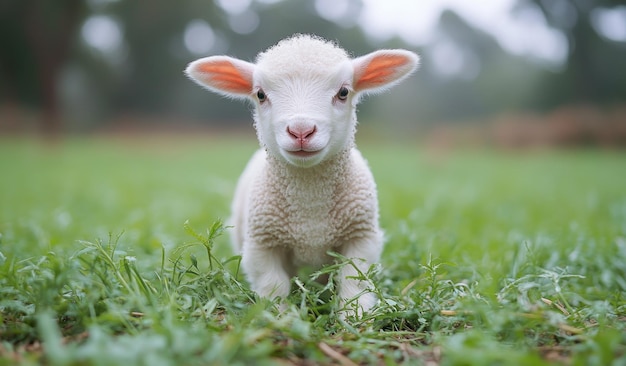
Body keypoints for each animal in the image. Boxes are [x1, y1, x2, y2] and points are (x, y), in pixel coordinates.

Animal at [186, 33, 420, 314]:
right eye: (260, 94)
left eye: (343, 92)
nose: (301, 131)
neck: (310, 208)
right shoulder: (262, 244)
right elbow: (273, 285)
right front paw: (281, 316)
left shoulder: (361, 236)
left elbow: (354, 281)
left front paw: (355, 315)